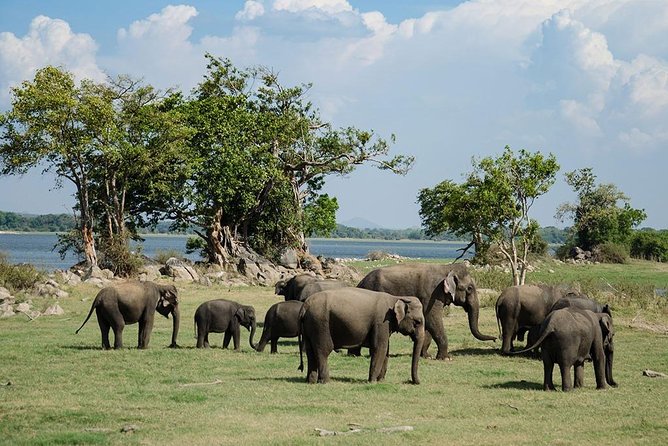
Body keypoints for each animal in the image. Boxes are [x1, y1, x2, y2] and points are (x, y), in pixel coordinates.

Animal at [358, 264, 494, 360]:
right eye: (469, 288)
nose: (495, 339)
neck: (447, 268)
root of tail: (360, 282)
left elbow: (427, 322)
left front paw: (426, 356)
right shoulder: (431, 294)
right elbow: (432, 319)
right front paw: (446, 358)